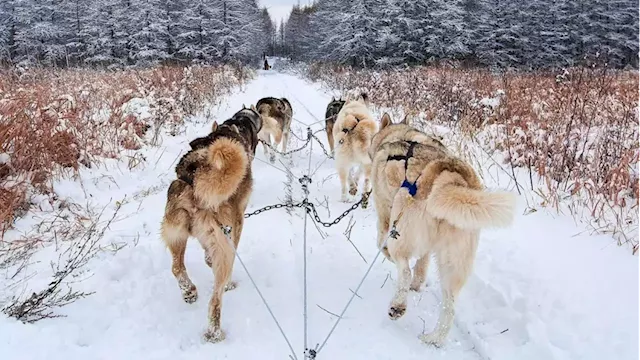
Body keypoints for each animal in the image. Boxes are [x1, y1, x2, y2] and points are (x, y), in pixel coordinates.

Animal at [162, 107, 262, 344]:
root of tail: (194, 182)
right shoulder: (237, 221)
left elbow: (206, 256)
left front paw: (207, 261)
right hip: (223, 246)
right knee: (215, 300)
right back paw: (215, 332)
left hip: (176, 235)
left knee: (177, 267)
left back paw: (189, 291)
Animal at [370, 114, 516, 348]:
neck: (400, 135)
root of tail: (448, 178)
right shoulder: (427, 248)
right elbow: (422, 265)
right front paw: (418, 284)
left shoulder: (384, 212)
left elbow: (382, 244)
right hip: (453, 263)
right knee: (450, 306)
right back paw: (434, 339)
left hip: (401, 232)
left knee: (404, 269)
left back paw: (398, 305)